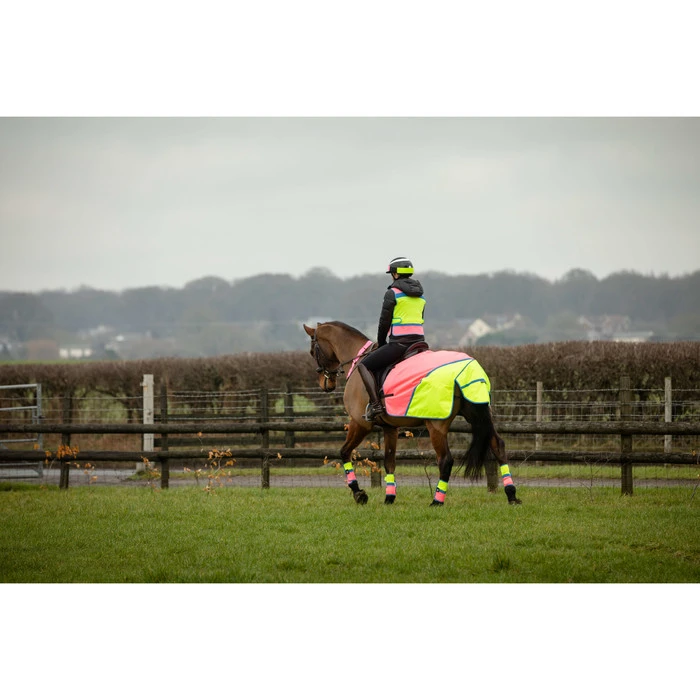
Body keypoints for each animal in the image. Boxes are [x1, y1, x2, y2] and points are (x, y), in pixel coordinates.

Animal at [303, 321, 522, 507]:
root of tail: (468, 369)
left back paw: (437, 501)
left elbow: (344, 452)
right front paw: (389, 498)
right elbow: (389, 462)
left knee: (445, 459)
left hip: (436, 425)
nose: (325, 384)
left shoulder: (360, 423)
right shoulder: (390, 428)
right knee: (498, 445)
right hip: (477, 415)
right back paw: (511, 495)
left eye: (312, 352)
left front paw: (359, 494)